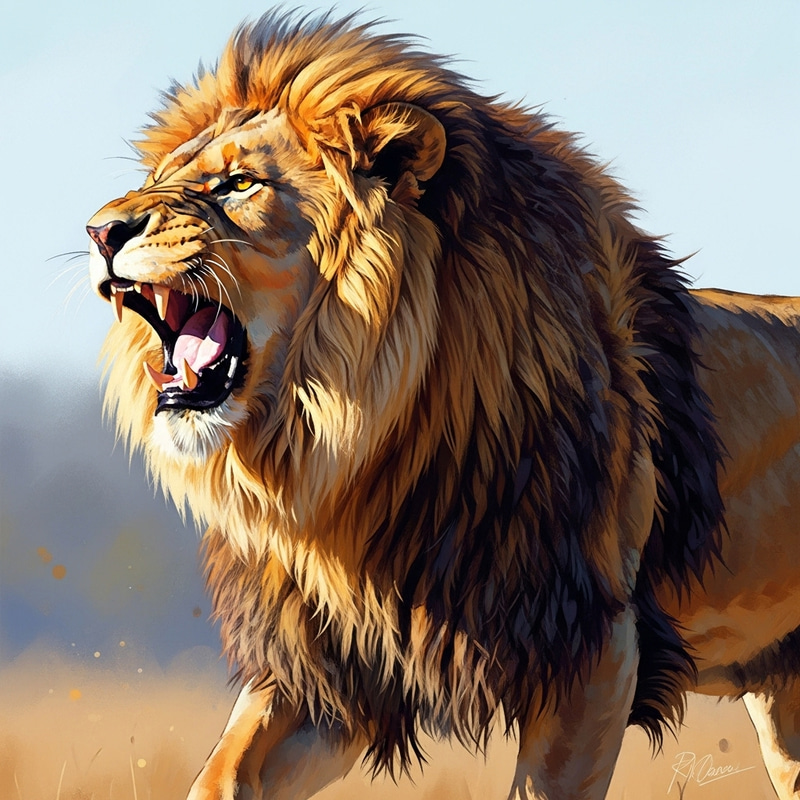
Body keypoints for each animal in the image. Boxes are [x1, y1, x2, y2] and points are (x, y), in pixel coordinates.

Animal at [85, 10, 800, 800]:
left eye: (239, 183)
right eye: (156, 181)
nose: (101, 230)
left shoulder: (594, 645)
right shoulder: (335, 669)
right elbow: (222, 773)